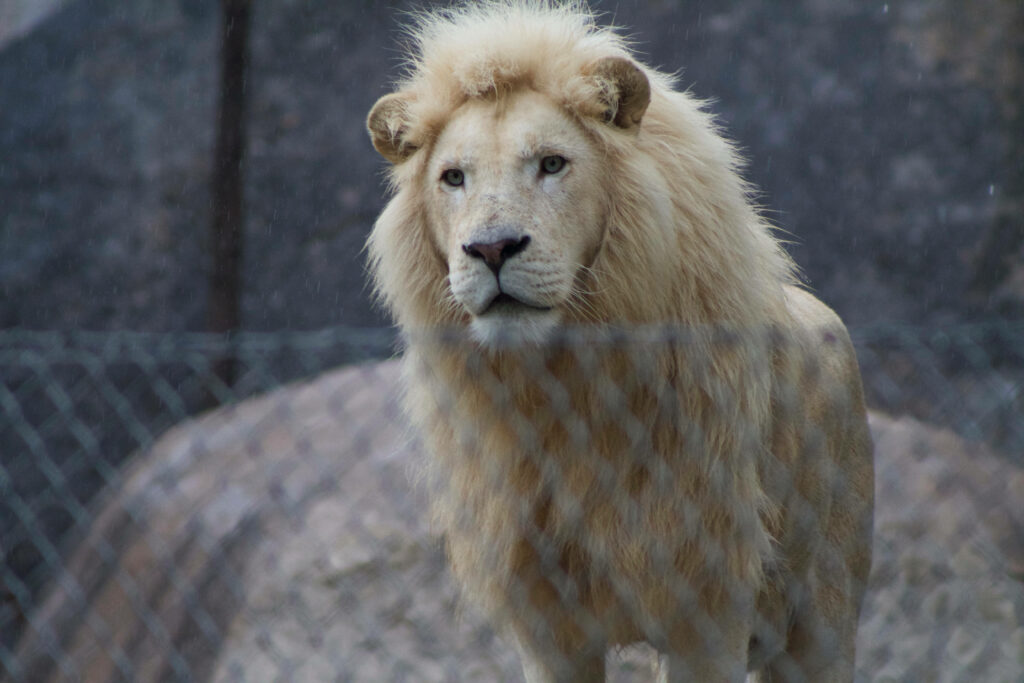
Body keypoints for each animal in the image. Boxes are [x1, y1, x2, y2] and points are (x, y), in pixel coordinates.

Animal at [365, 2, 874, 681]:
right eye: (453, 178)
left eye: (552, 163)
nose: (492, 249)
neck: (563, 387)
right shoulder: (548, 622)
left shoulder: (708, 604)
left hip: (822, 611)